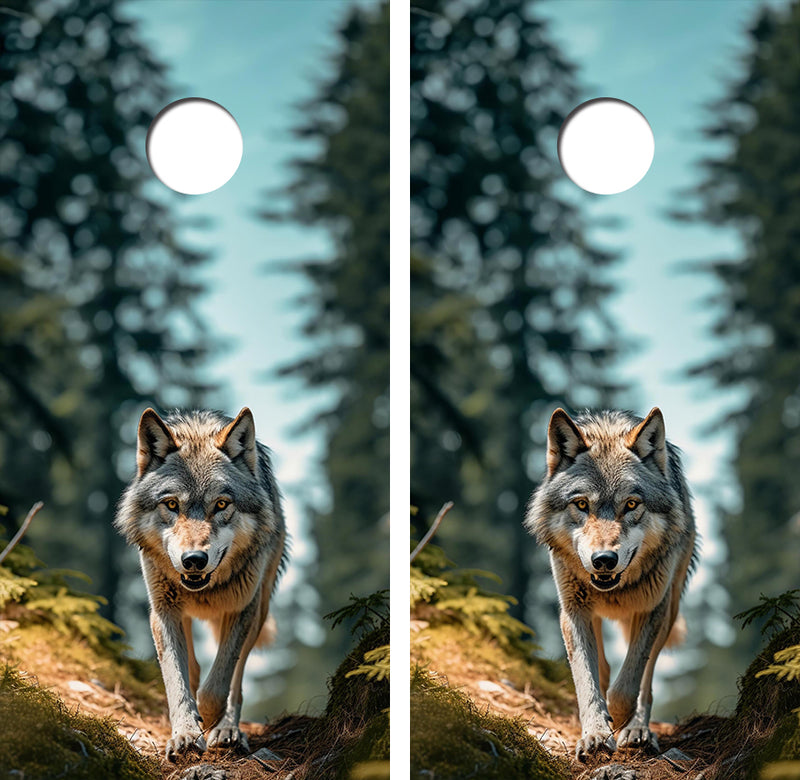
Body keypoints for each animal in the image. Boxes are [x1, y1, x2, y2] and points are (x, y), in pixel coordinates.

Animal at [115, 407, 287, 760]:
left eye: (221, 504)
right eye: (171, 504)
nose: (194, 559)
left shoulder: (241, 610)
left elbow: (217, 686)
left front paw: (208, 722)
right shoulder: (163, 612)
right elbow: (178, 679)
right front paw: (185, 733)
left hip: (259, 611)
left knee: (236, 679)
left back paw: (228, 729)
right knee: (193, 668)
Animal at [526, 407, 696, 760]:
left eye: (631, 504)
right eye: (581, 504)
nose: (604, 559)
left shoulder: (651, 610)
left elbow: (627, 687)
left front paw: (618, 723)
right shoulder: (573, 612)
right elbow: (587, 679)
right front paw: (595, 733)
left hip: (669, 610)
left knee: (646, 679)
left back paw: (638, 729)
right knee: (603, 668)